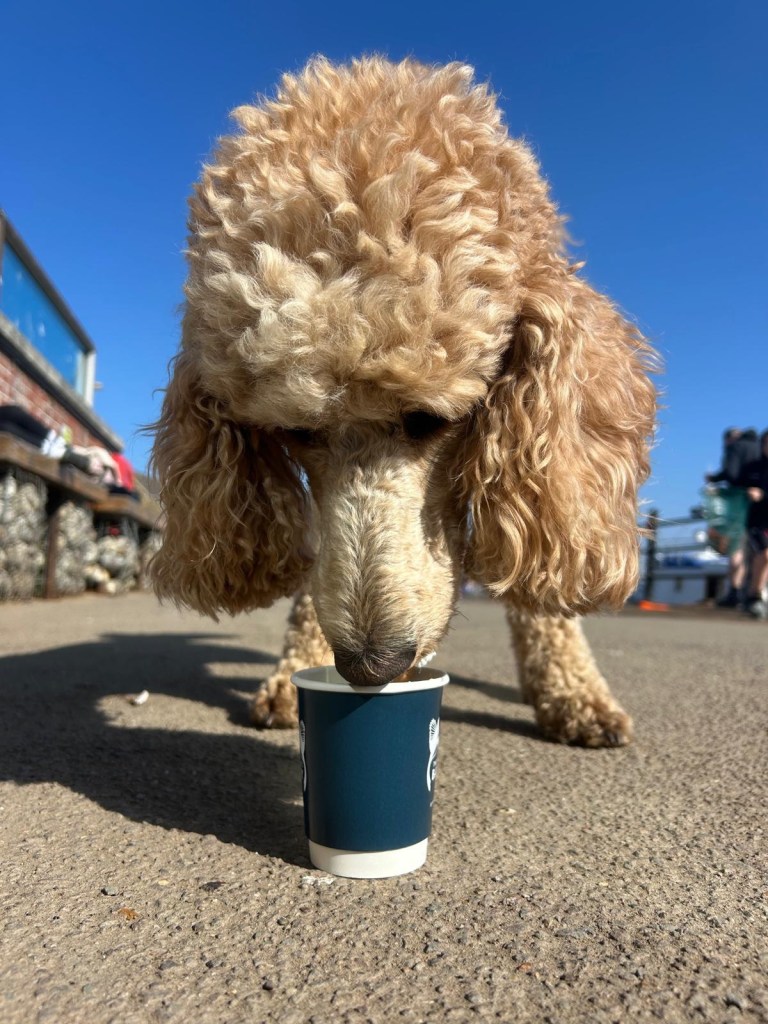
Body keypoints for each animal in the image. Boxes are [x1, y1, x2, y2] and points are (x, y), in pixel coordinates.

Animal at [152, 57, 656, 747]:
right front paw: (297, 668)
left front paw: (574, 692)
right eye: (295, 431)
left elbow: (542, 578)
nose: (370, 667)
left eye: (428, 419)